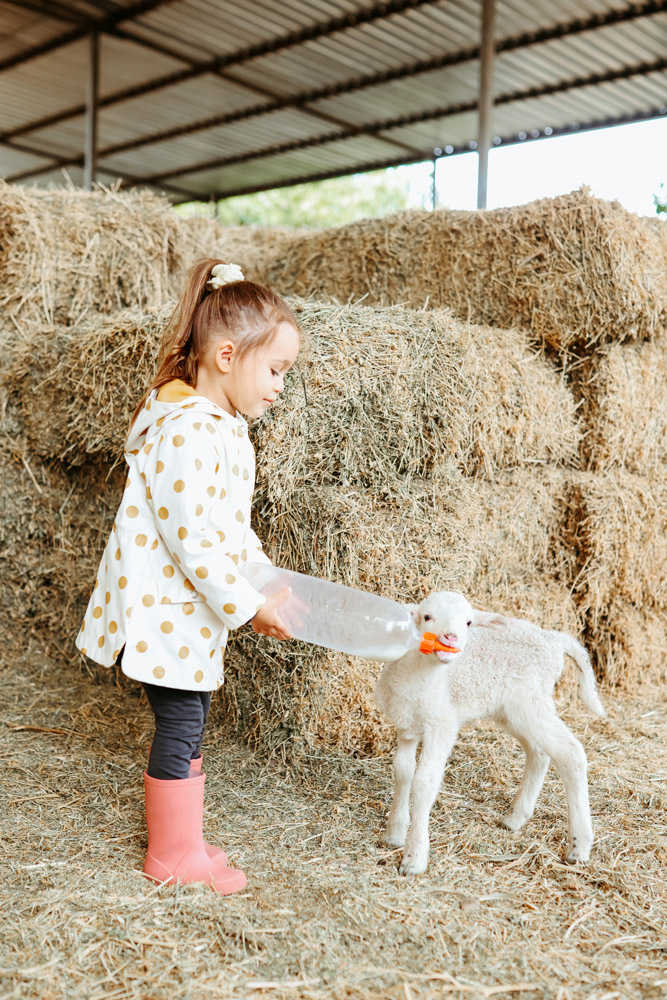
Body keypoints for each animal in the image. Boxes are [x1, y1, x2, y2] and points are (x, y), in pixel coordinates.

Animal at [374, 592, 608, 876]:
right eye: (427, 616)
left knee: (570, 753)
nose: (451, 637)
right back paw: (515, 818)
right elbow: (403, 771)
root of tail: (552, 639)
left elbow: (424, 783)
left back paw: (579, 846)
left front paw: (414, 857)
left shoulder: (441, 725)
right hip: (514, 709)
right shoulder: (406, 725)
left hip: (529, 702)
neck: (421, 676)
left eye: (468, 622)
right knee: (539, 752)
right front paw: (394, 833)